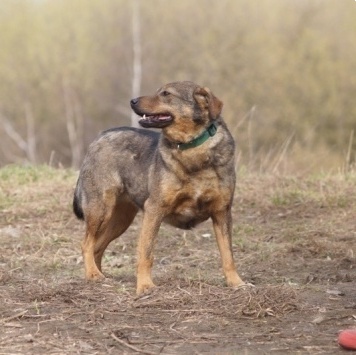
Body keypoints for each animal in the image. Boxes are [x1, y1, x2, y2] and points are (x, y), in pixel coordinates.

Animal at [72, 80, 245, 294]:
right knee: (86, 244)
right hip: (100, 210)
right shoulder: (154, 210)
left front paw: (236, 283)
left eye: (166, 94)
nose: (132, 101)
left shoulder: (222, 212)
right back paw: (93, 275)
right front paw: (145, 286)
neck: (192, 148)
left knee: (97, 246)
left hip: (120, 220)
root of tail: (99, 137)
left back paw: (101, 276)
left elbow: (228, 255)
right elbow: (146, 253)